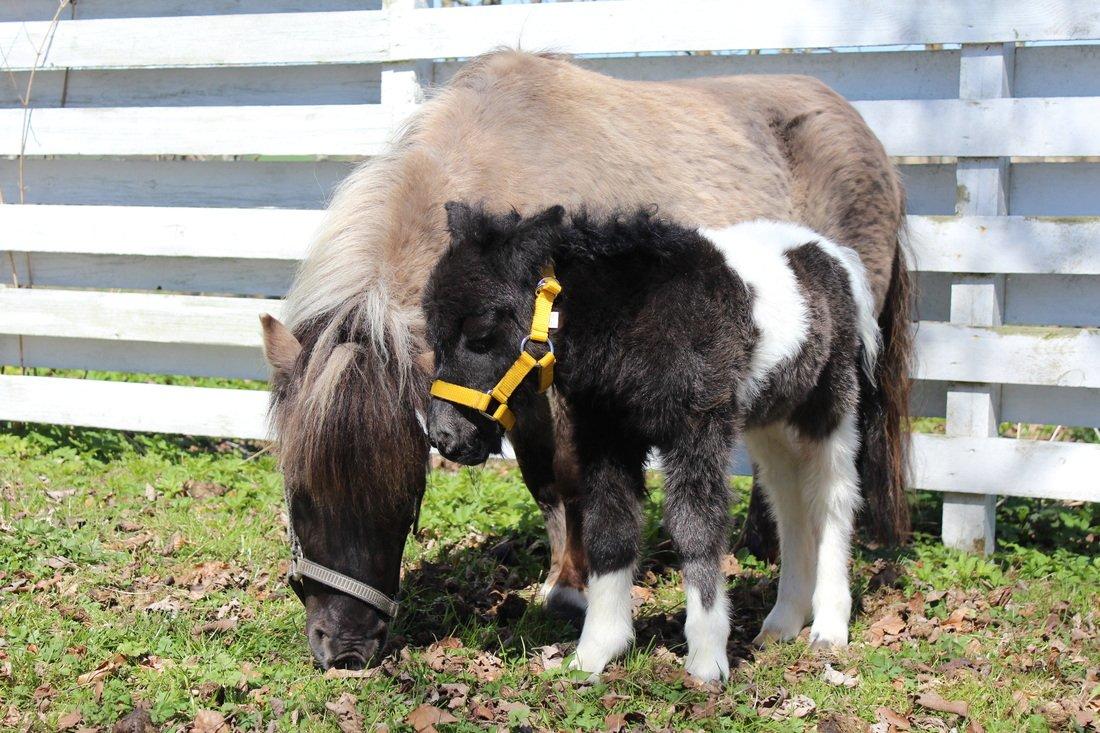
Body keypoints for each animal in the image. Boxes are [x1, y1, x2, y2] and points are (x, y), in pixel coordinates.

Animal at [424, 203, 880, 677]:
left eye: (480, 335)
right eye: (433, 335)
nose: (443, 436)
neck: (634, 323)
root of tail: (833, 252)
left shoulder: (698, 432)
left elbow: (696, 528)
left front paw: (707, 663)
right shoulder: (606, 436)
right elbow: (610, 530)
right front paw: (594, 653)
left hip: (830, 412)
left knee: (832, 500)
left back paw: (828, 629)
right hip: (771, 424)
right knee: (789, 505)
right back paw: (782, 623)